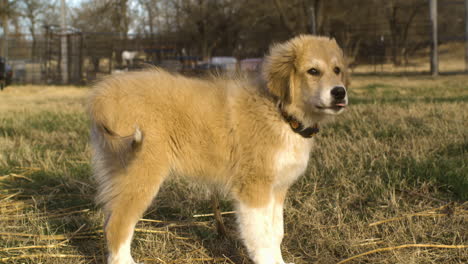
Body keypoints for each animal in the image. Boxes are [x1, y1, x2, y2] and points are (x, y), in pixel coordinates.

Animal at [89, 35, 350, 264]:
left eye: (337, 70)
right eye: (313, 71)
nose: (340, 92)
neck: (280, 113)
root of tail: (103, 95)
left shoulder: (277, 189)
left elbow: (276, 233)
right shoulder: (253, 188)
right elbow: (261, 237)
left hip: (119, 173)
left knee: (109, 220)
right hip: (142, 172)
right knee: (118, 225)